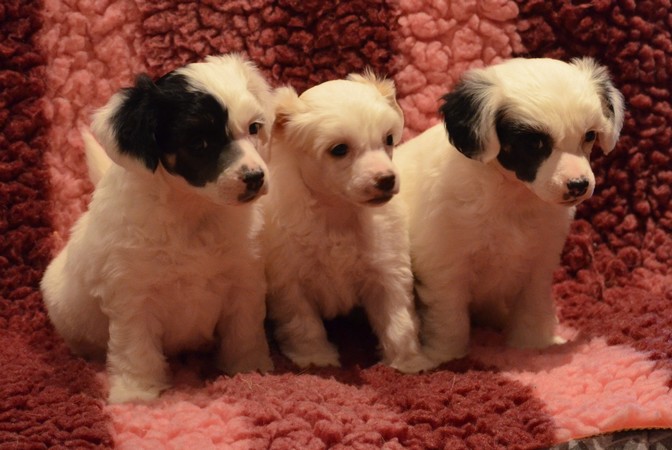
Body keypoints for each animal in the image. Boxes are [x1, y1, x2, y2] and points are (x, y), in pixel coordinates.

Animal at [41, 54, 275, 403]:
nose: (255, 177)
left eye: (254, 128)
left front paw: (249, 368)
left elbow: (245, 329)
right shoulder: (132, 293)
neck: (193, 210)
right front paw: (137, 391)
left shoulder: (244, 278)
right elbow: (135, 347)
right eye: (199, 142)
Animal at [262, 72, 435, 374]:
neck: (338, 213)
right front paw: (315, 358)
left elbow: (399, 321)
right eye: (339, 149)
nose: (387, 179)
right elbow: (303, 324)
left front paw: (409, 362)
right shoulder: (289, 280)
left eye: (388, 139)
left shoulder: (388, 271)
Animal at [394, 57, 625, 364]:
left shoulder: (539, 262)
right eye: (534, 143)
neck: (513, 195)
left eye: (589, 136)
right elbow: (449, 317)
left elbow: (532, 306)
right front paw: (447, 357)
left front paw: (535, 345)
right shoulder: (445, 266)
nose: (579, 185)